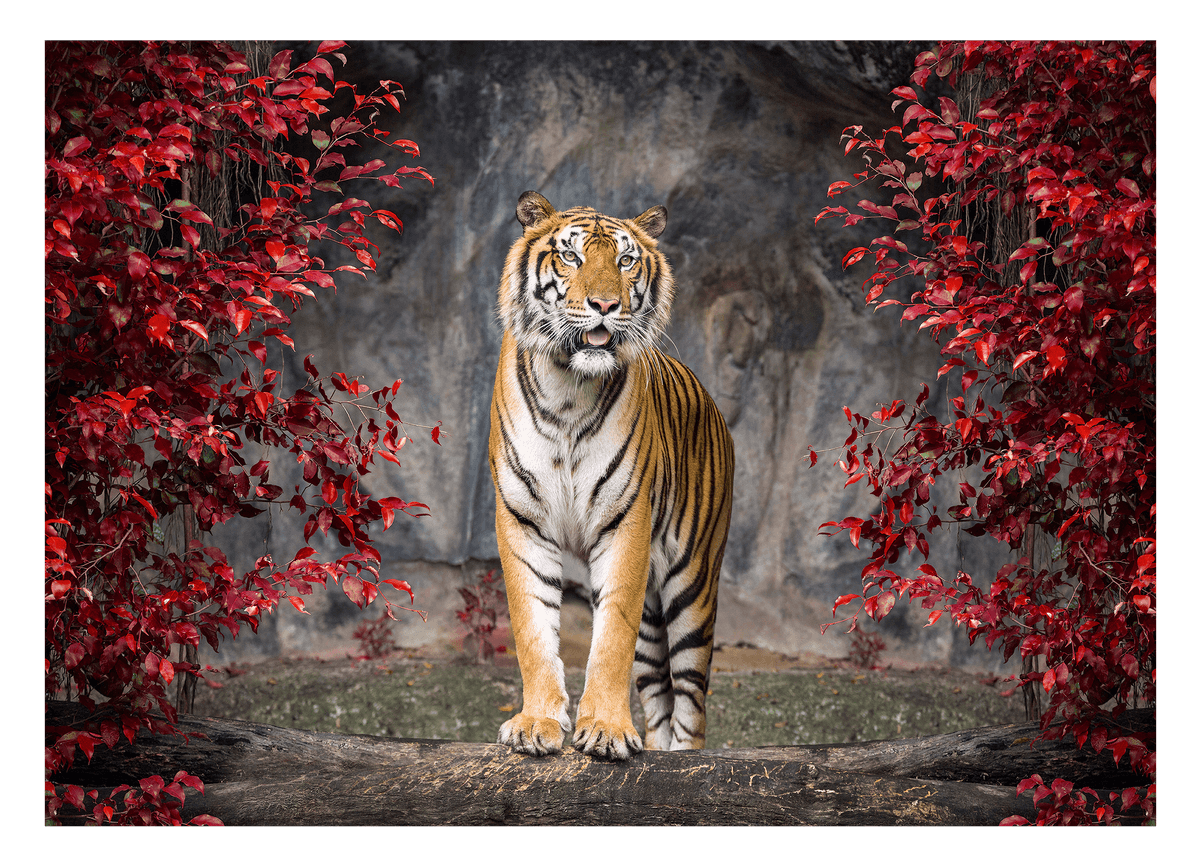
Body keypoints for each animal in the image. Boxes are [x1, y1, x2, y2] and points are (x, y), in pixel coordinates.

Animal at [488, 191, 734, 760]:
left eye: (624, 261)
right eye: (571, 257)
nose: (605, 305)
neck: (568, 389)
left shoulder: (626, 524)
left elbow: (610, 640)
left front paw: (603, 728)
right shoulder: (522, 520)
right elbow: (533, 631)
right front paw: (537, 723)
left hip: (692, 586)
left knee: (691, 703)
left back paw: (687, 760)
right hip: (655, 617)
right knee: (660, 697)